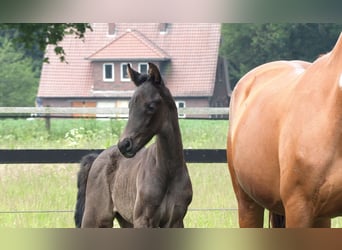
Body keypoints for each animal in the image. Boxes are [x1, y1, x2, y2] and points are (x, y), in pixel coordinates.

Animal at [74, 63, 192, 229]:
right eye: (130, 105)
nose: (124, 144)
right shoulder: (143, 220)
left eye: (151, 106)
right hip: (95, 219)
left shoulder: (176, 221)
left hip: (125, 220)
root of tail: (96, 158)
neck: (168, 171)